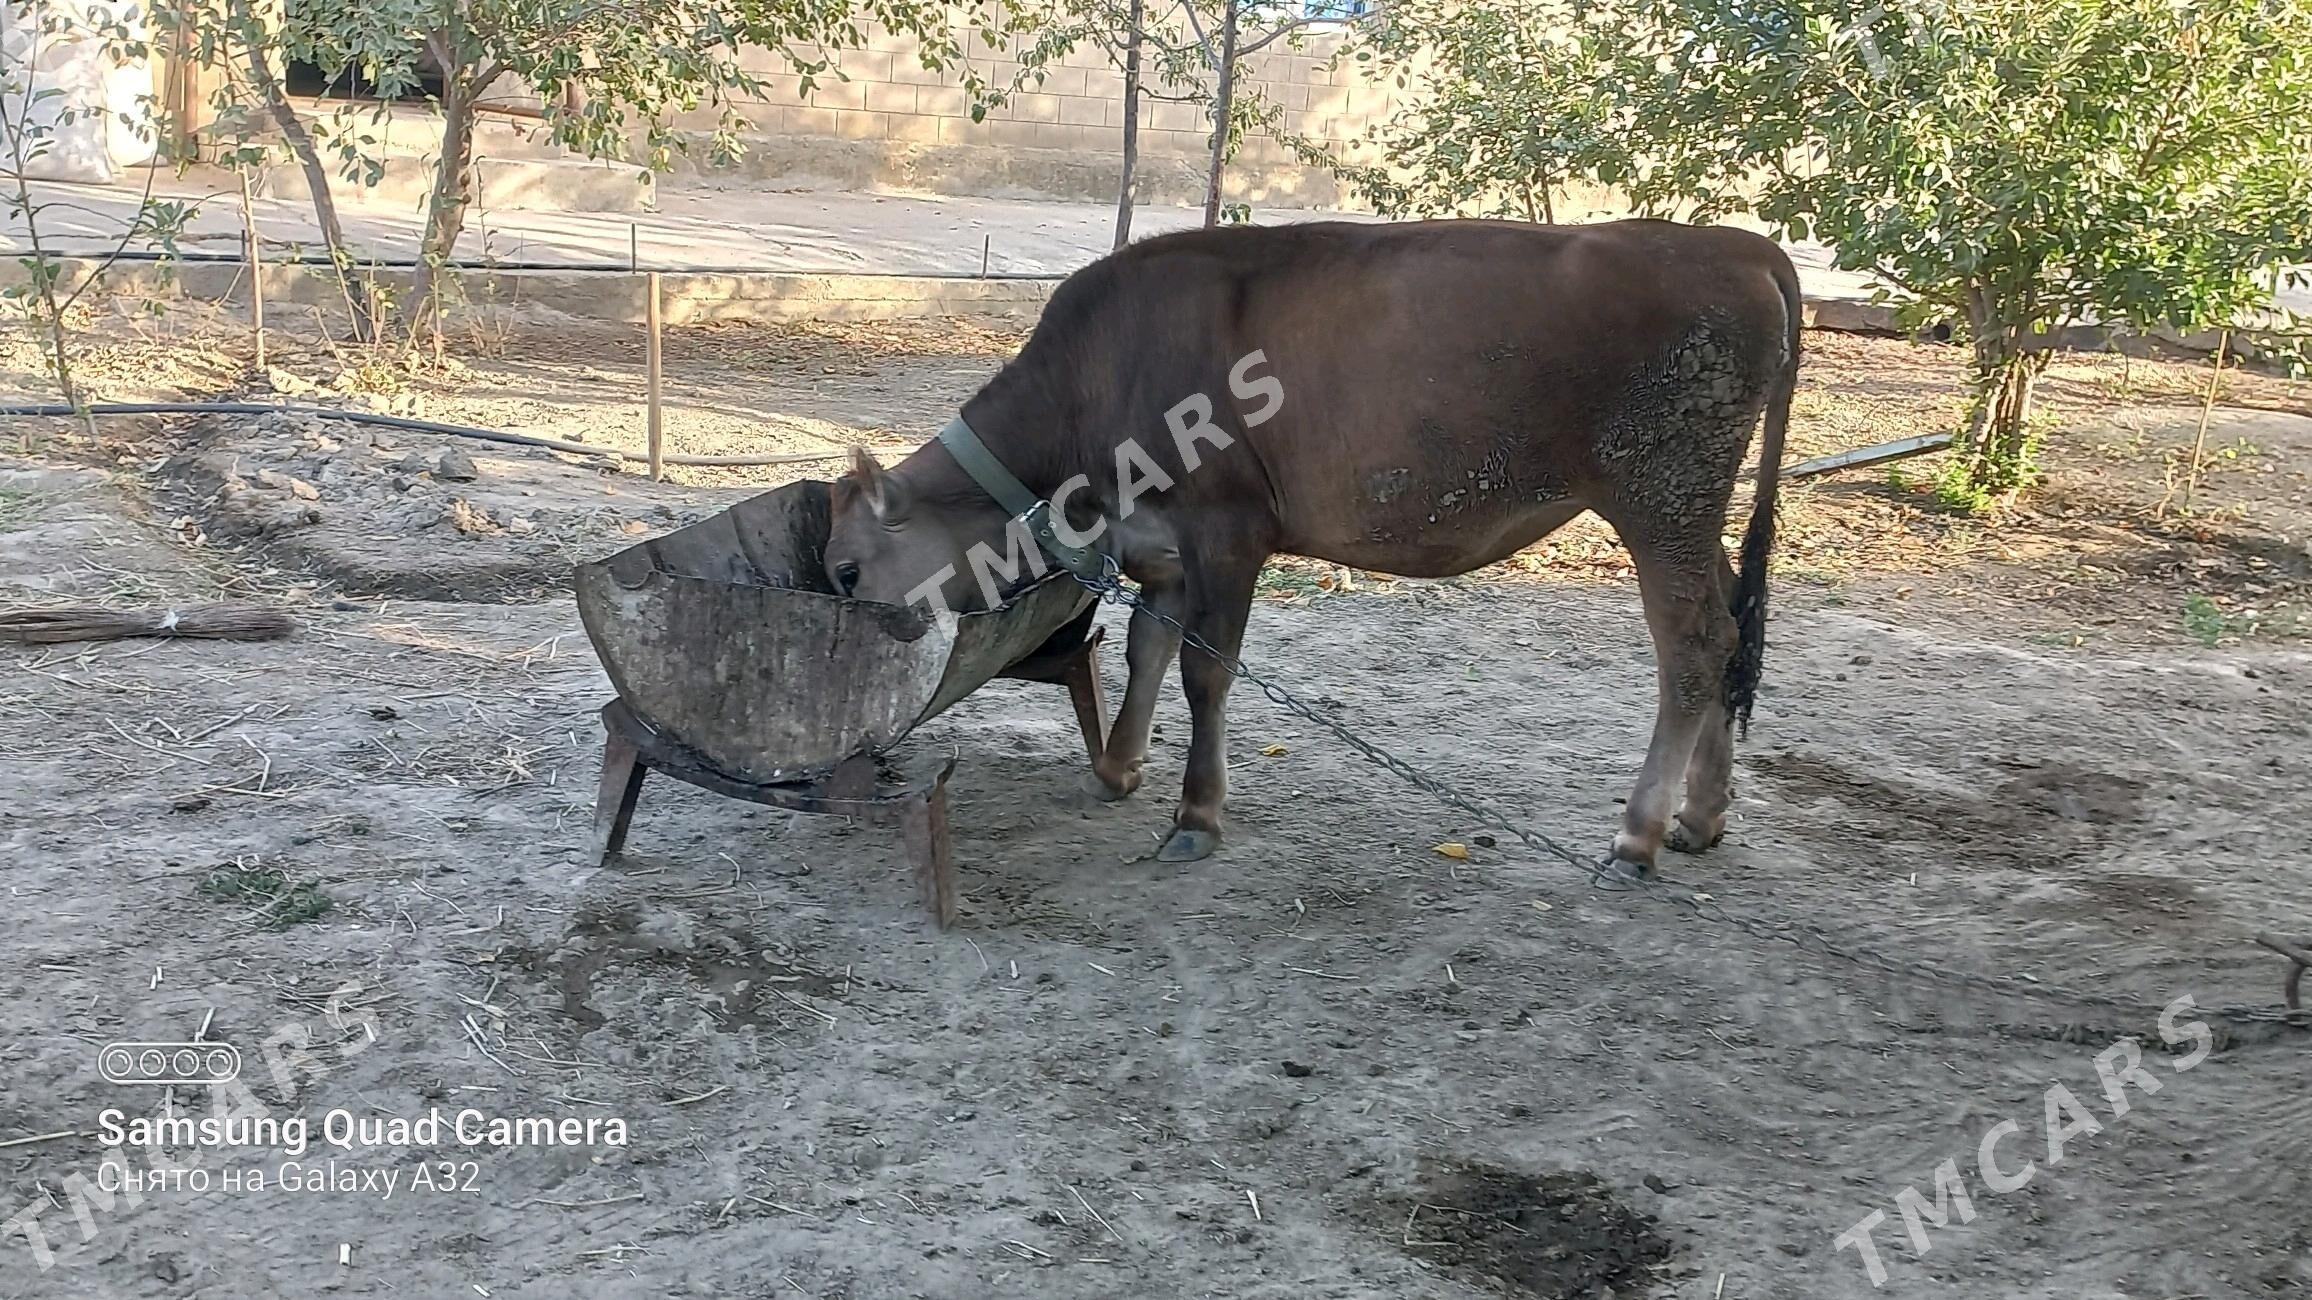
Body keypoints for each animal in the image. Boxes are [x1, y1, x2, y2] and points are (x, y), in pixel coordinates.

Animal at [823, 217, 1794, 874]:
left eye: (846, 566)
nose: (858, 650)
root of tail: (1740, 247)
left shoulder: (1227, 526)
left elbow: (1205, 671)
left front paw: (1196, 816)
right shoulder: (1163, 544)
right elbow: (1147, 648)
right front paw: (1118, 767)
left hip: (1661, 492)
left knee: (1694, 643)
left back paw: (1640, 833)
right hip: (1690, 509)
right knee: (1730, 623)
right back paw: (1702, 815)